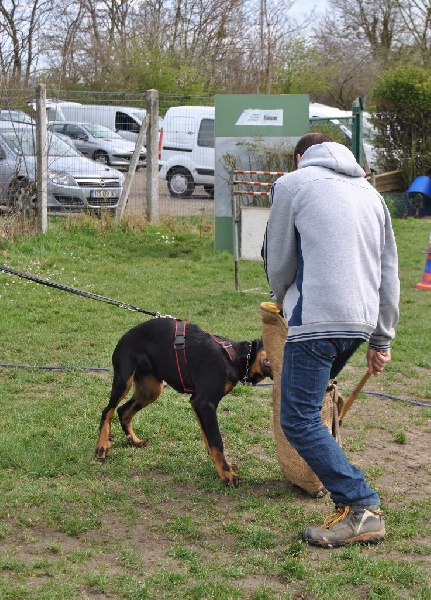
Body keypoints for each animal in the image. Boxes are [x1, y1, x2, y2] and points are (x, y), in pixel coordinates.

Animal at [96, 316, 272, 486]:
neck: (235, 357)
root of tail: (126, 334)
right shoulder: (204, 403)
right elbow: (216, 442)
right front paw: (226, 474)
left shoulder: (198, 404)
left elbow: (208, 440)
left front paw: (223, 467)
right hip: (124, 380)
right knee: (108, 411)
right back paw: (102, 445)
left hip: (151, 390)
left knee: (123, 411)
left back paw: (134, 440)